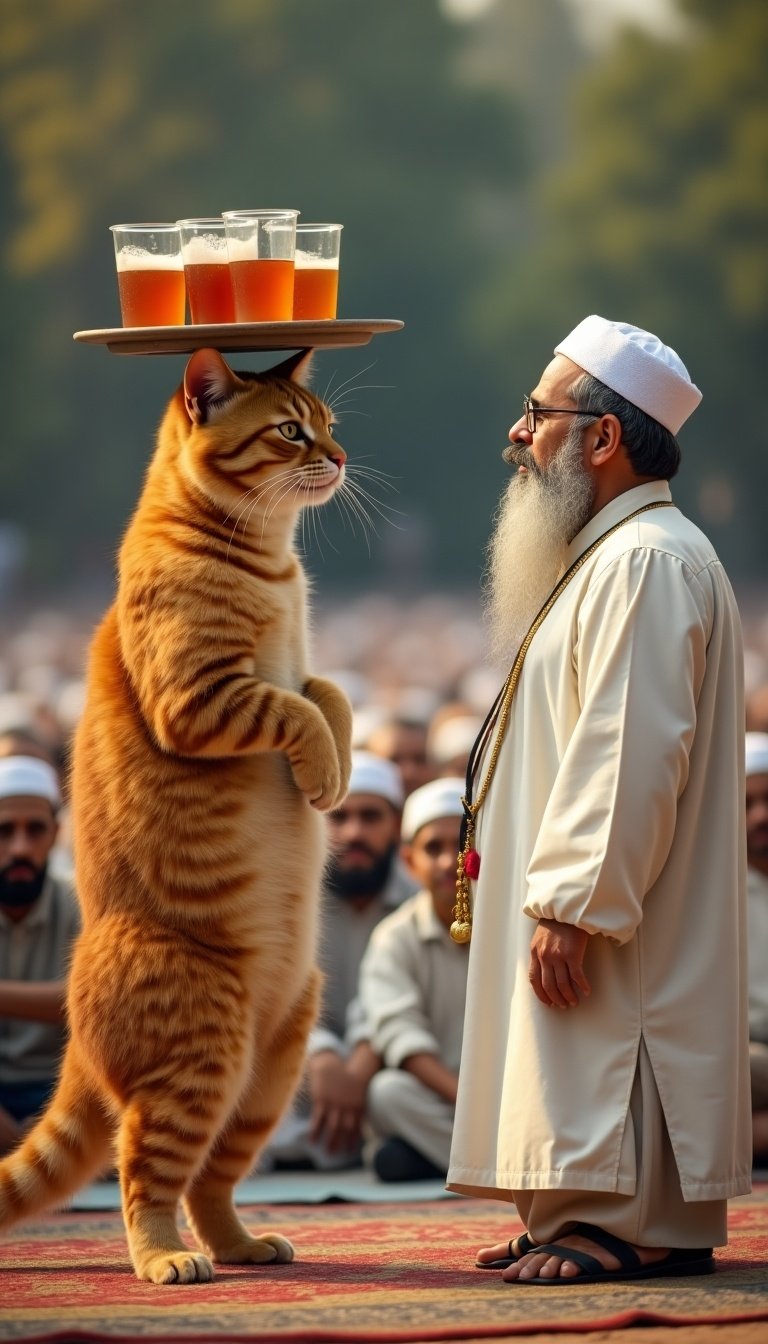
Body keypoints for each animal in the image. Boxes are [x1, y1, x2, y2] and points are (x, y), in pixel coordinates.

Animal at [0, 346, 355, 1279]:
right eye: (290, 430)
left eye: (330, 423)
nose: (340, 458)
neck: (273, 562)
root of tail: (76, 1040)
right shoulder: (200, 699)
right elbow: (294, 710)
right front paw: (321, 772)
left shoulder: (298, 667)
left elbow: (330, 694)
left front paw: (338, 771)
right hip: (204, 1047)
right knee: (143, 1175)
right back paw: (166, 1260)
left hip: (277, 1057)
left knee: (212, 1182)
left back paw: (242, 1245)